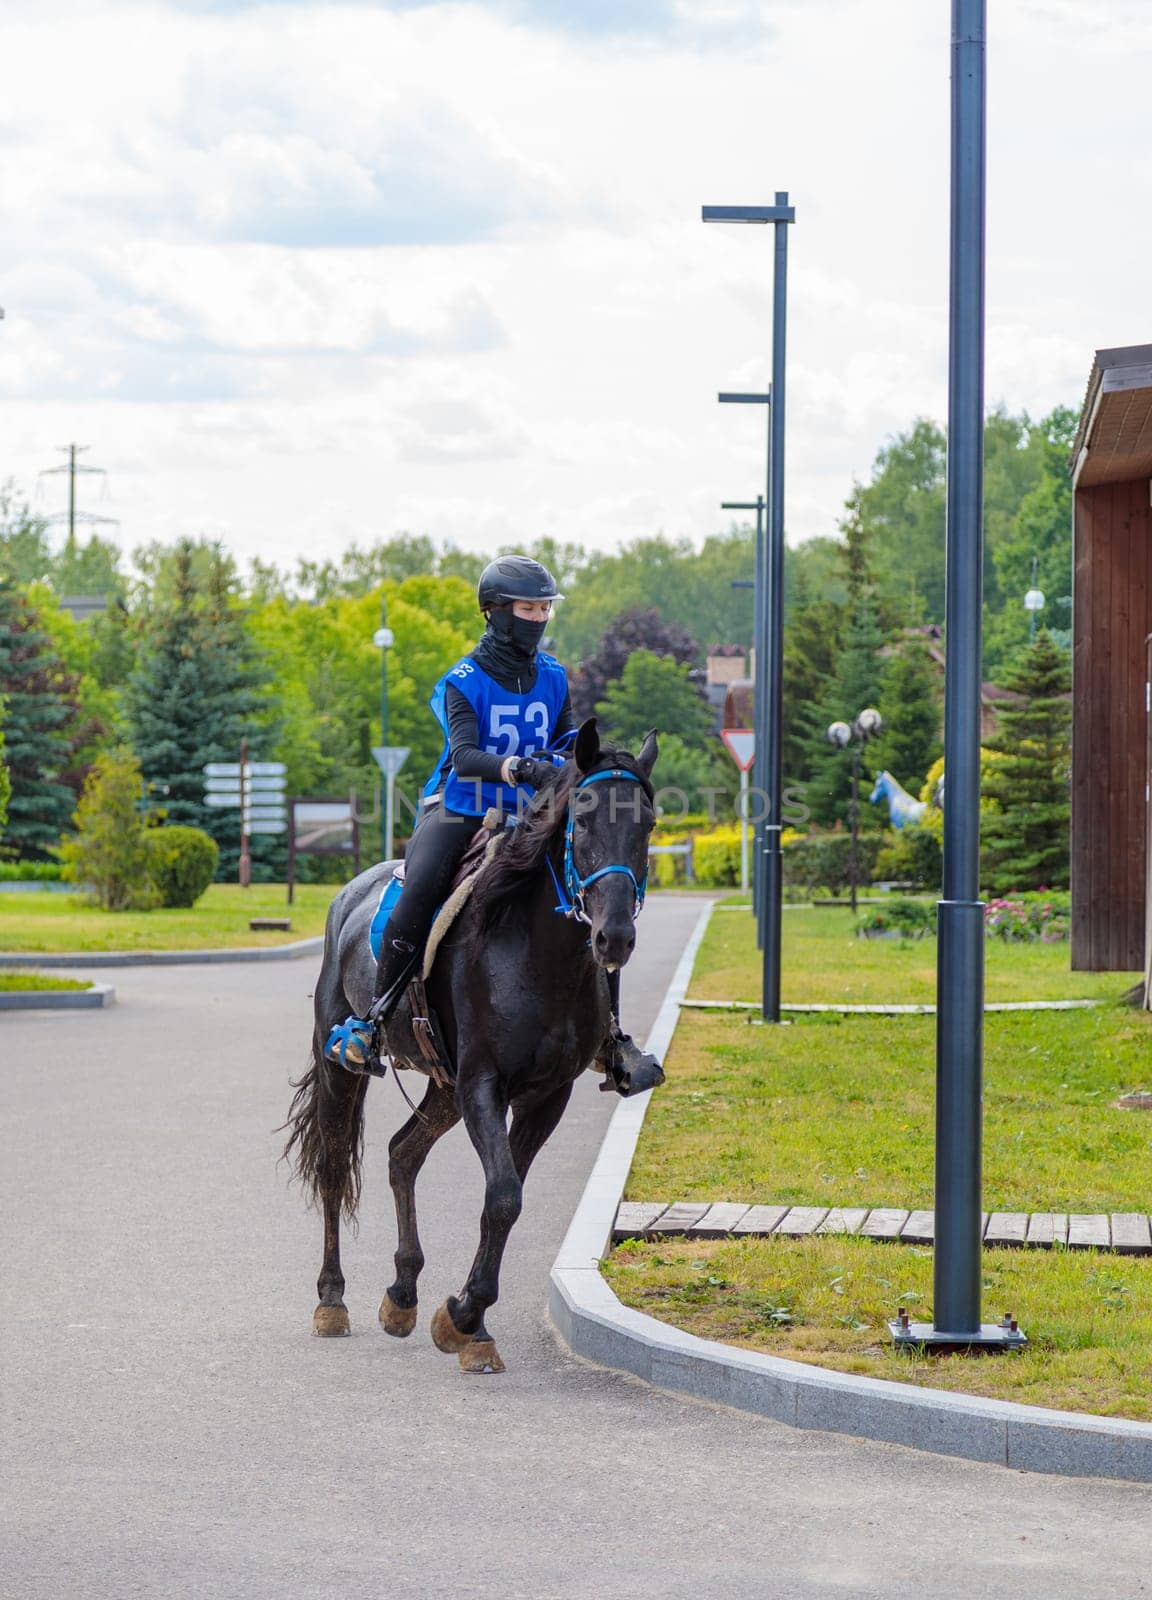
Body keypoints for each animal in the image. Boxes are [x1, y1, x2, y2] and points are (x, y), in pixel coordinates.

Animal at [286, 720, 656, 1369]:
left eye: (649, 824)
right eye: (583, 819)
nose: (614, 937)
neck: (538, 955)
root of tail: (348, 894)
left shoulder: (544, 1096)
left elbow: (504, 1198)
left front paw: (470, 1323)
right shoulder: (484, 1083)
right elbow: (503, 1195)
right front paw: (462, 1315)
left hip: (443, 1087)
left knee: (402, 1154)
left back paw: (402, 1294)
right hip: (346, 1071)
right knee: (333, 1166)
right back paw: (332, 1300)